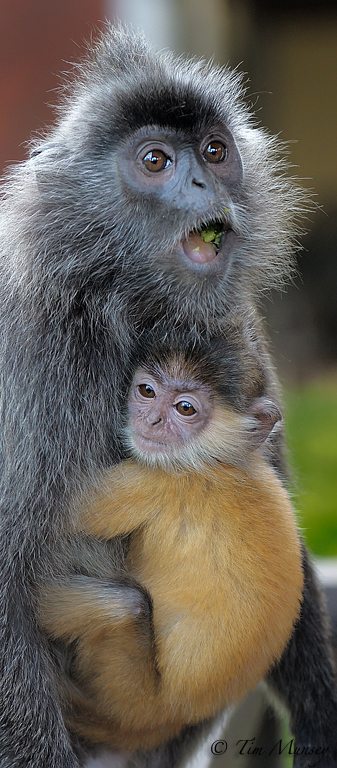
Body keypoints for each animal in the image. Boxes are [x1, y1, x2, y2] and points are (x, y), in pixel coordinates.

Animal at [38, 352, 302, 752]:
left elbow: (62, 517)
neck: (219, 461)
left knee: (126, 605)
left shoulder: (157, 481)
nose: (150, 420)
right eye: (147, 391)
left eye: (185, 409)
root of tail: (156, 721)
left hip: (125, 686)